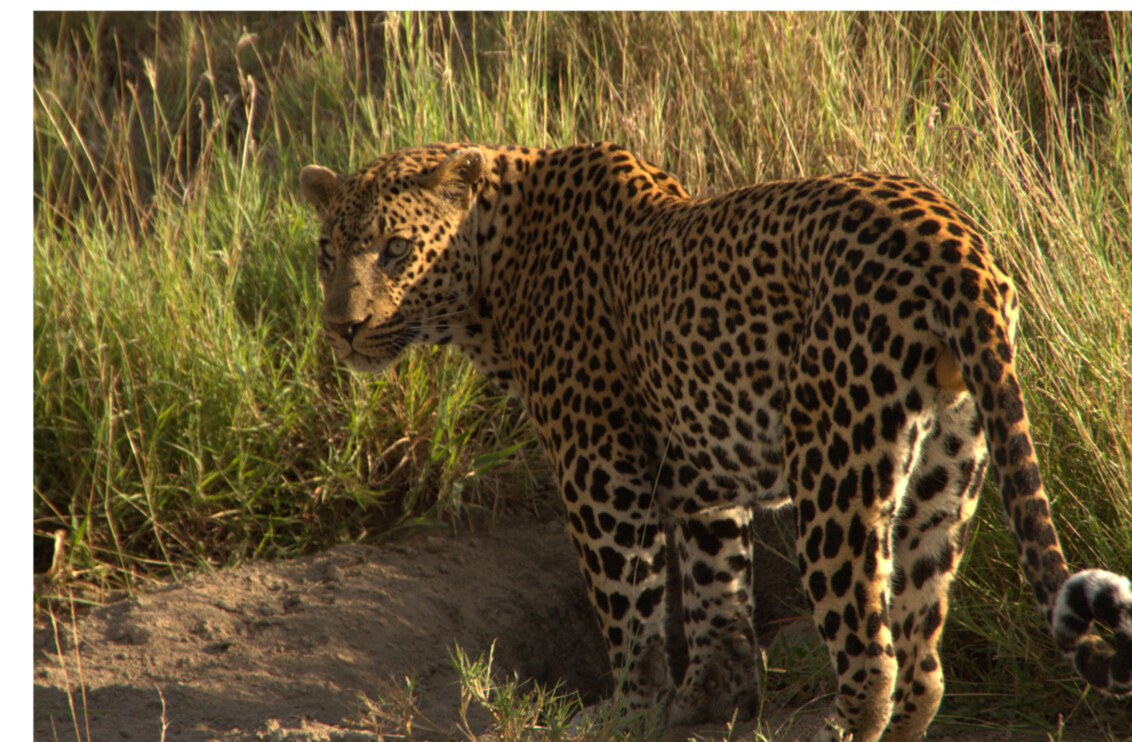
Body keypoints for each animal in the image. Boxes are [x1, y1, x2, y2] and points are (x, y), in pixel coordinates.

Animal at [299, 141, 1132, 742]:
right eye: (326, 253)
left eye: (396, 250)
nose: (342, 326)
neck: (491, 274)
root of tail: (957, 240)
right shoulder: (700, 478)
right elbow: (715, 590)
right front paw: (711, 701)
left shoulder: (599, 467)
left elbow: (628, 601)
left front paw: (629, 712)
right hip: (947, 473)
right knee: (923, 660)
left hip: (836, 473)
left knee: (871, 658)